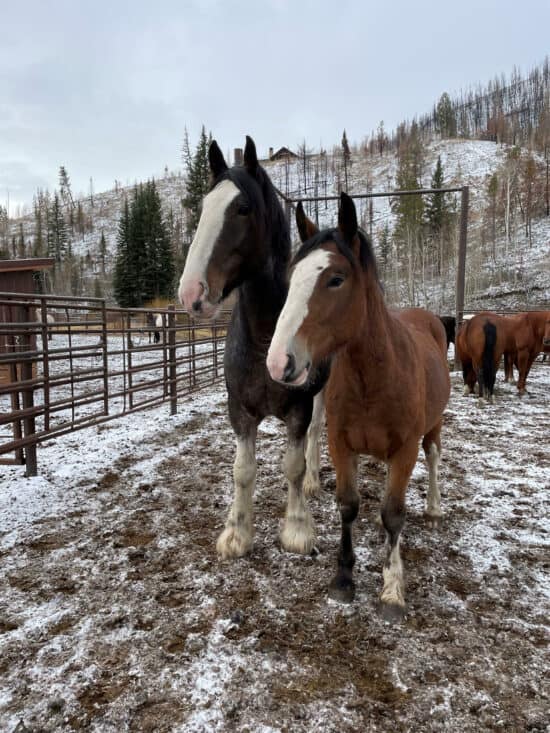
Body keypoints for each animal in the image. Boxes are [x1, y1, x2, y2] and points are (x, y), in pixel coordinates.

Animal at [180, 137, 328, 556]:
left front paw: (297, 529)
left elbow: (293, 465)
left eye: (242, 208)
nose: (191, 293)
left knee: (316, 433)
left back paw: (313, 481)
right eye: (203, 208)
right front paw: (237, 533)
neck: (265, 340)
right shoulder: (240, 410)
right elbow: (242, 470)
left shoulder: (298, 408)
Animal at [268, 194, 452, 616]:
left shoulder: (405, 451)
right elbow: (349, 505)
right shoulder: (341, 444)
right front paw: (343, 578)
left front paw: (392, 589)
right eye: (292, 276)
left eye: (336, 279)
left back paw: (434, 507)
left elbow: (393, 514)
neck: (375, 376)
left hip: (433, 426)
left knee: (434, 456)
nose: (278, 361)